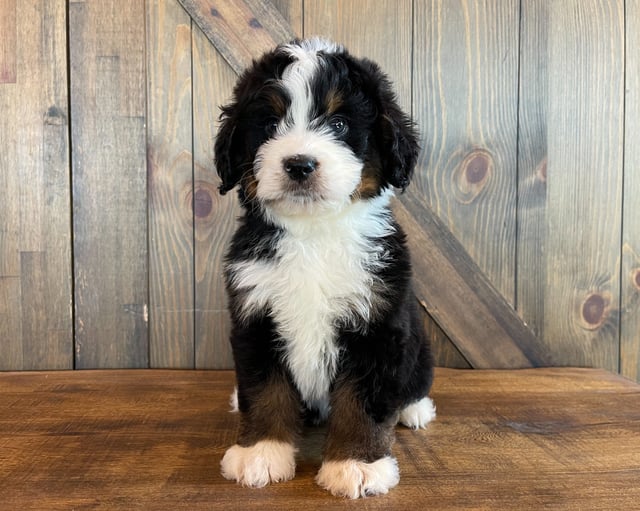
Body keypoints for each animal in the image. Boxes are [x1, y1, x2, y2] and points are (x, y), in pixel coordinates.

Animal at [215, 37, 436, 500]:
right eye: (270, 124)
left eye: (338, 123)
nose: (299, 164)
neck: (313, 234)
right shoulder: (256, 315)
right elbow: (265, 391)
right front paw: (260, 452)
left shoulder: (377, 324)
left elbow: (362, 403)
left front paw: (357, 464)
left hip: (420, 345)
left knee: (415, 382)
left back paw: (414, 409)